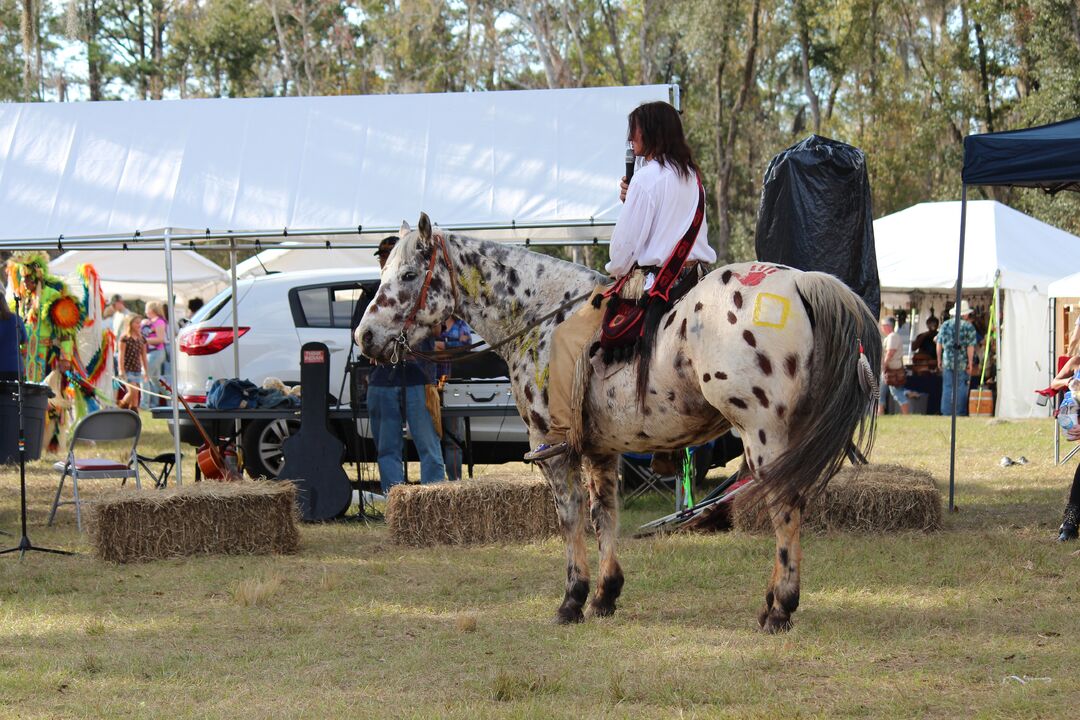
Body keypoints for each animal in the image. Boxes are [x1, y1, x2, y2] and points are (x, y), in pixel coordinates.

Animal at [358, 212, 881, 630]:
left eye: (408, 274)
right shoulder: (602, 450)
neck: (543, 315)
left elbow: (570, 517)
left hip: (763, 436)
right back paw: (771, 602)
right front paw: (606, 594)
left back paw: (780, 608)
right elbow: (603, 514)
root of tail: (800, 282)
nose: (364, 336)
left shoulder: (552, 447)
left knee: (785, 510)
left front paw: (572, 599)